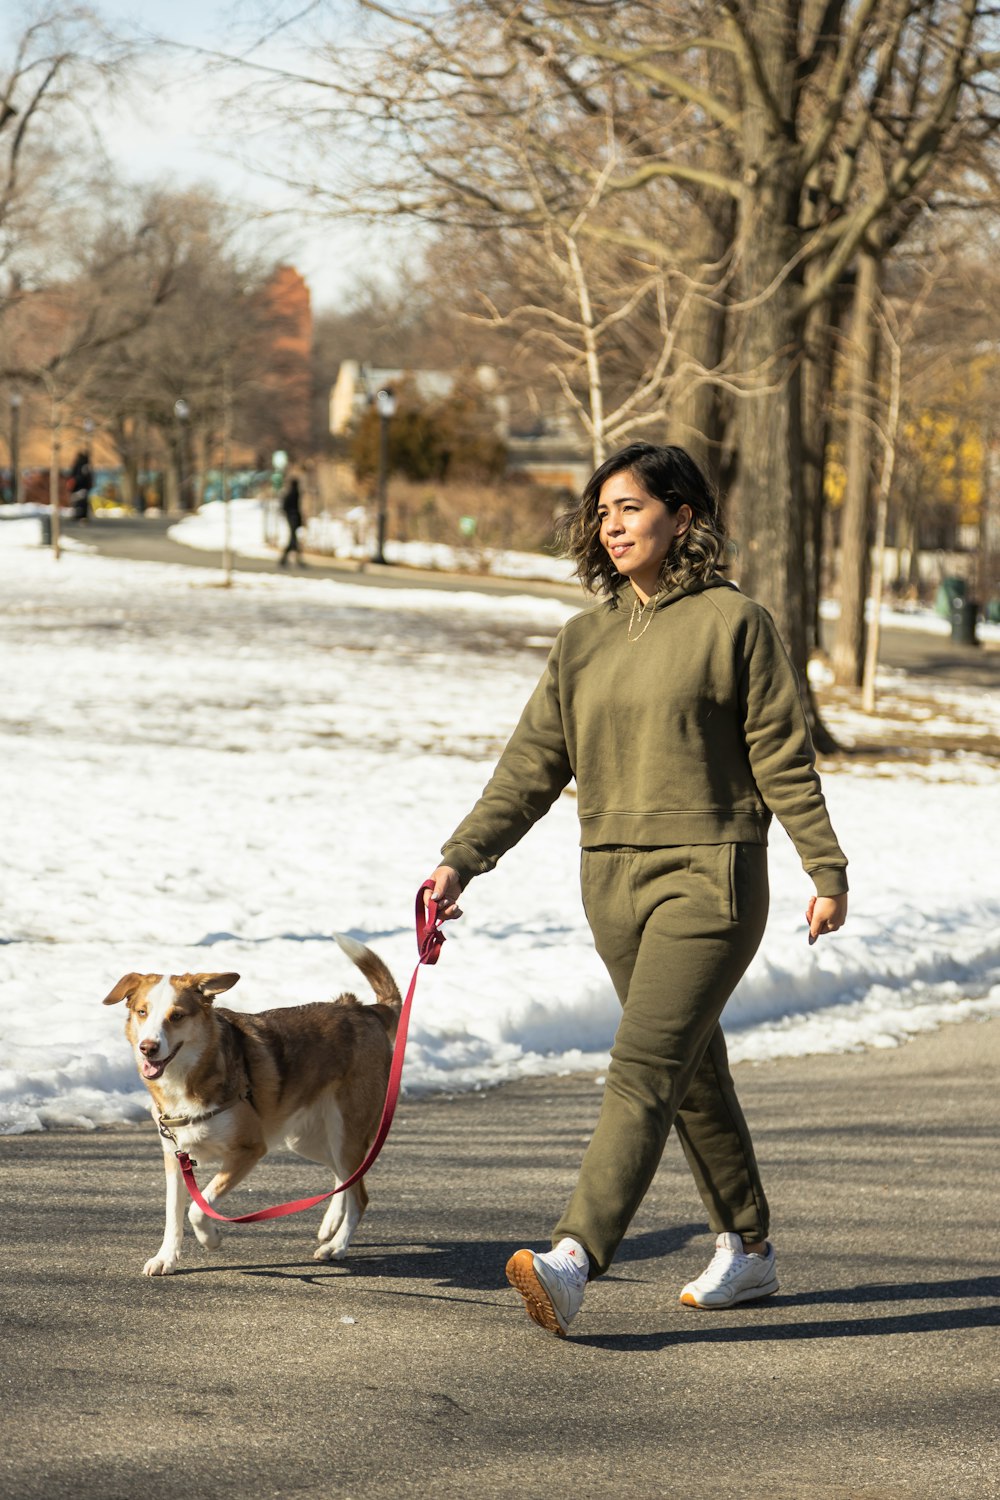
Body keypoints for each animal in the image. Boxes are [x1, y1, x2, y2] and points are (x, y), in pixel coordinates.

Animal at [105, 936, 401, 1278]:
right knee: (346, 1178)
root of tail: (363, 1010)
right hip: (308, 1139)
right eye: (142, 1012)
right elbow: (173, 1214)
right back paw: (330, 1225)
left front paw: (211, 1239)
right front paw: (166, 1257)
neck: (188, 1077)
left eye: (176, 1016)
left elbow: (197, 1209)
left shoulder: (249, 1150)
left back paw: (337, 1246)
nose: (148, 1048)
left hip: (346, 1132)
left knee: (360, 1195)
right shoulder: (175, 1157)